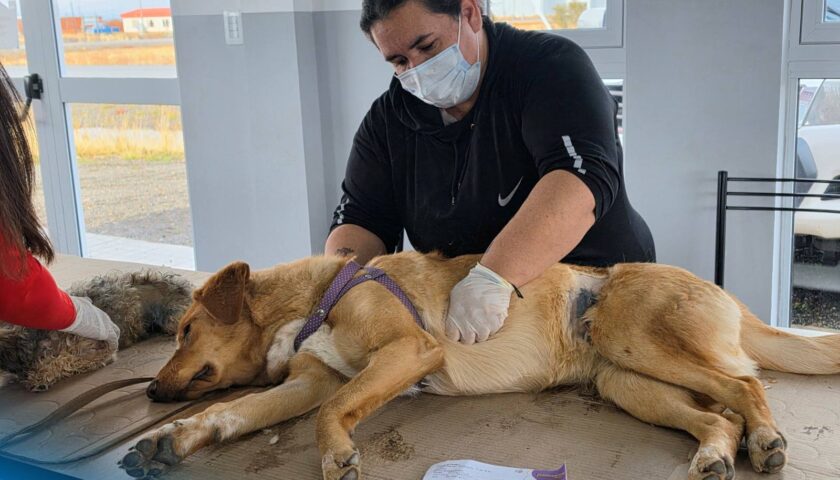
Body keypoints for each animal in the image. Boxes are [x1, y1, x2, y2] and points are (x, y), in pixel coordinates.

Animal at [117, 252, 840, 480]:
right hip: (626, 380)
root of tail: (734, 300)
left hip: (636, 338)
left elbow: (333, 411)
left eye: (186, 329)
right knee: (718, 415)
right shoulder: (308, 381)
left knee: (744, 384)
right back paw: (717, 453)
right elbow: (233, 408)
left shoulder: (410, 351)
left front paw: (336, 455)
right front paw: (173, 438)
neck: (318, 300)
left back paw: (766, 439)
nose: (150, 392)